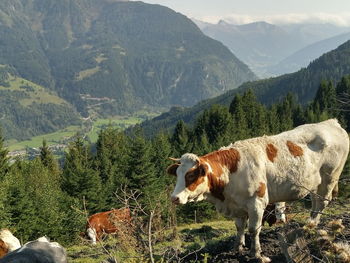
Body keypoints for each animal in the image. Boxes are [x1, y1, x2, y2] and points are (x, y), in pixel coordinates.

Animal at [168, 120, 348, 263]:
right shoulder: (236, 205)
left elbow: (254, 229)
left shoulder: (257, 202)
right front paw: (237, 248)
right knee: (315, 201)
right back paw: (310, 222)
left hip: (330, 177)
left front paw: (256, 254)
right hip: (315, 183)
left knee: (322, 202)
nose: (174, 198)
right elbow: (239, 227)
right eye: (177, 174)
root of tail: (331, 122)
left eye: (191, 175)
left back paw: (312, 224)